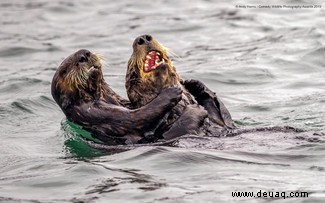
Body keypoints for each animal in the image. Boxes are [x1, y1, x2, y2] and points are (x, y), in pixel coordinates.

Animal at [50, 48, 185, 144]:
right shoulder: (96, 113)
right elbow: (137, 116)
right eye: (64, 71)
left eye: (86, 52)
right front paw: (172, 92)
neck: (102, 96)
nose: (84, 55)